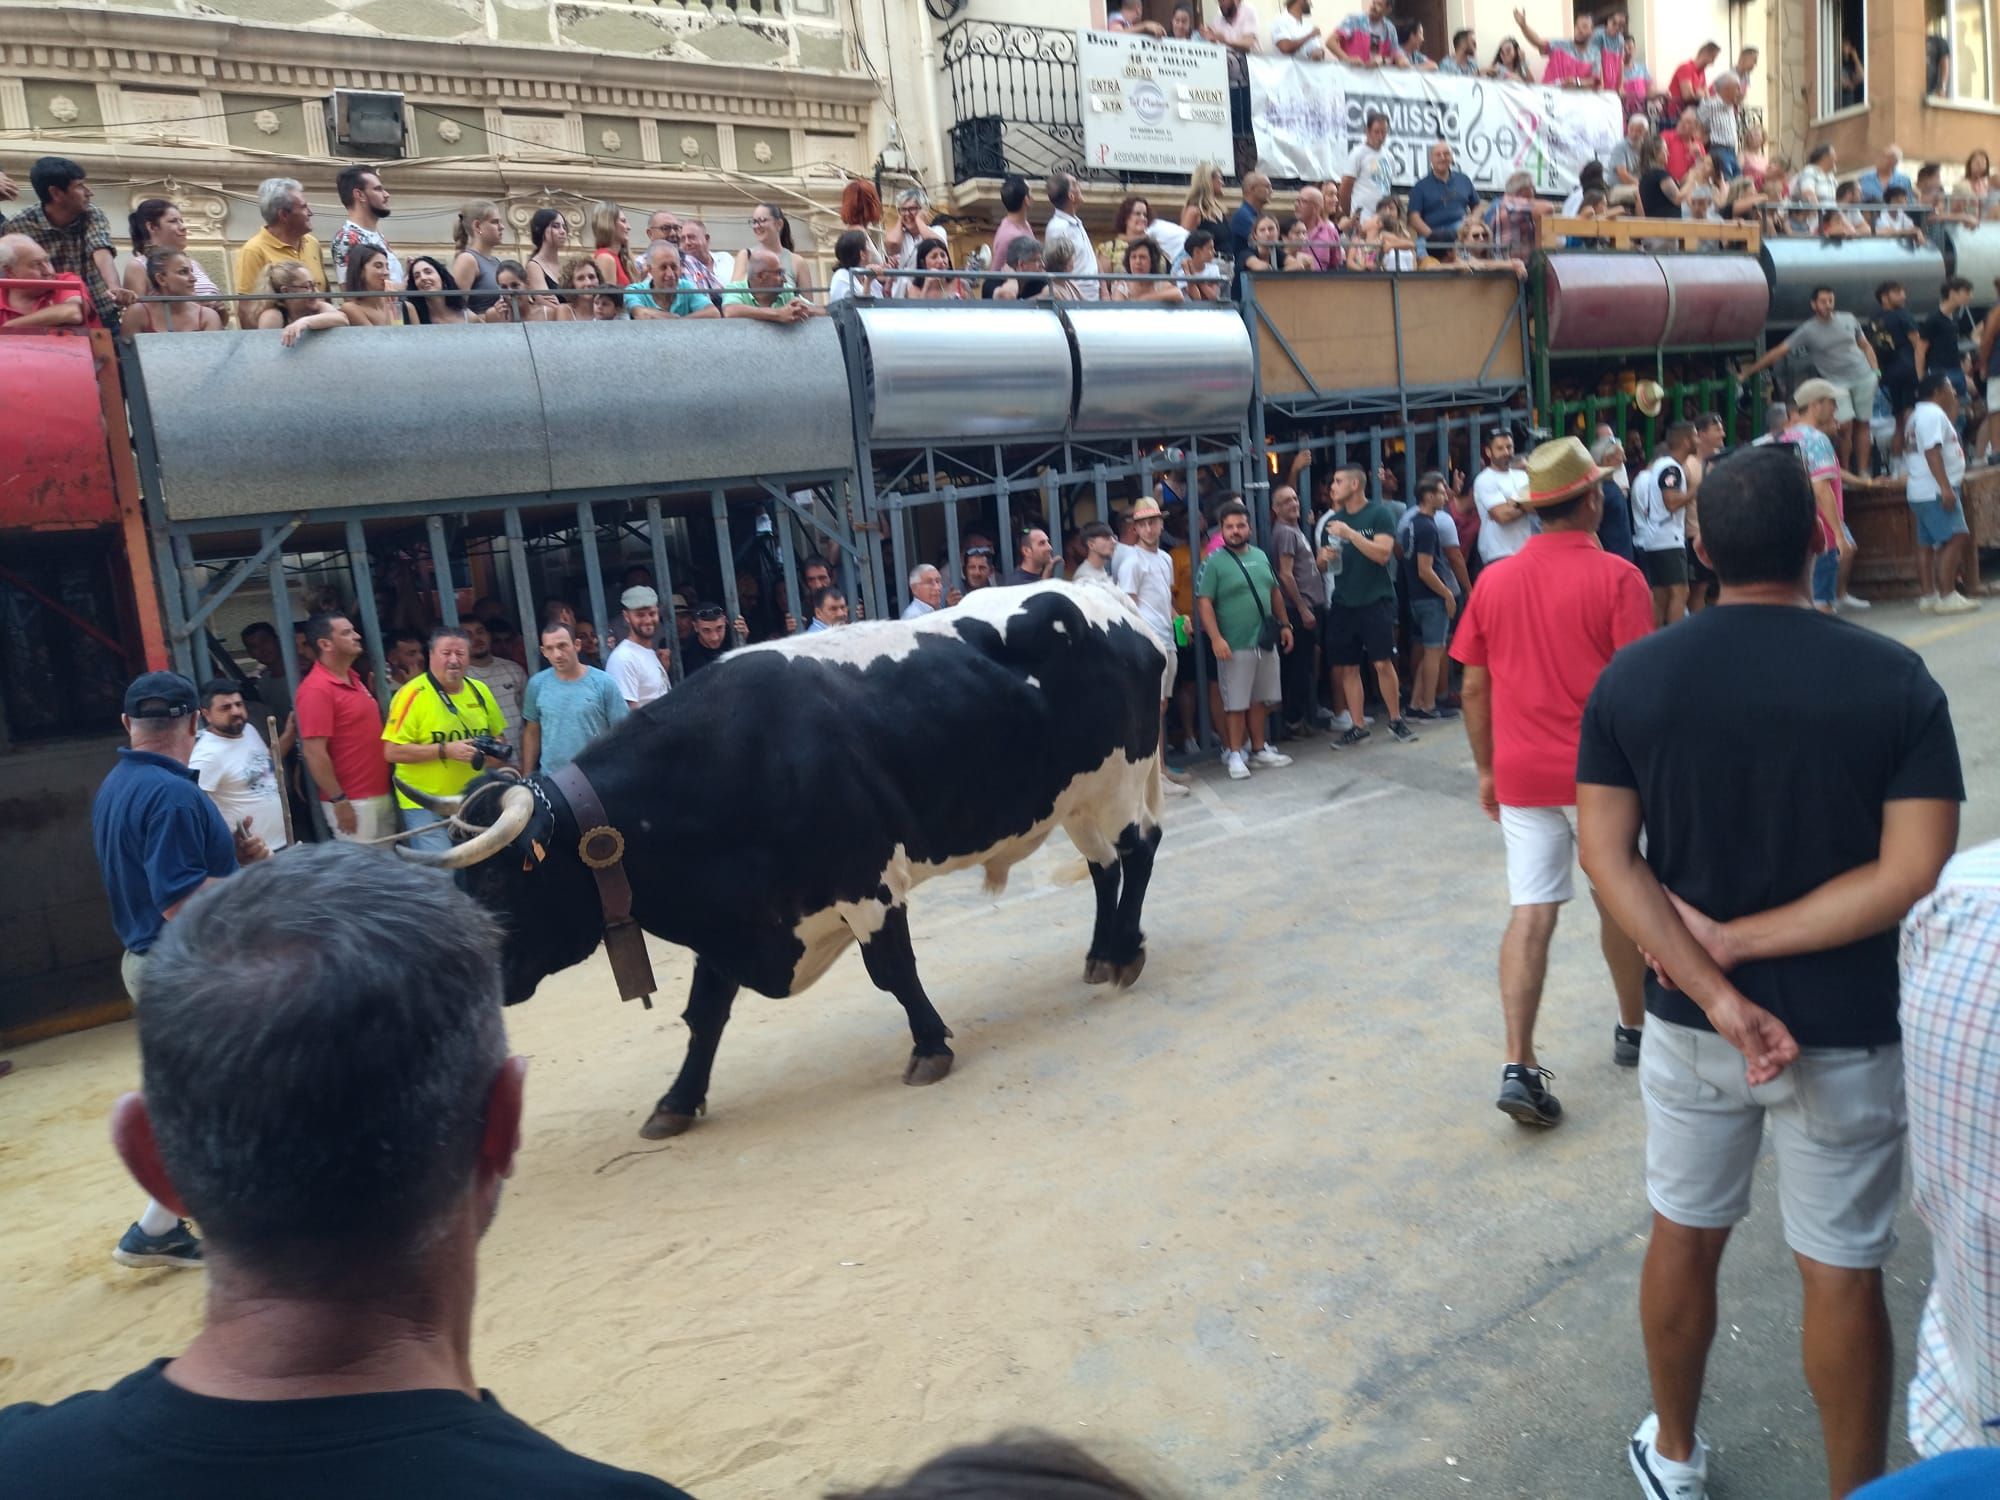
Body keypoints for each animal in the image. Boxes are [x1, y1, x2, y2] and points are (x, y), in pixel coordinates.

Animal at [396, 584, 1168, 1136]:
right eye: (466, 880)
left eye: (499, 879)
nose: (475, 976)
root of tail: (1111, 603)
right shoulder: (726, 920)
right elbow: (704, 1013)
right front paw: (677, 1099)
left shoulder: (868, 882)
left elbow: (893, 972)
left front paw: (929, 1046)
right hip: (1077, 799)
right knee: (1103, 866)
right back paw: (1100, 952)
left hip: (1118, 782)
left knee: (1139, 851)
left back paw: (1126, 951)